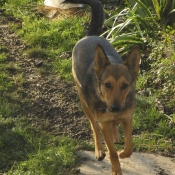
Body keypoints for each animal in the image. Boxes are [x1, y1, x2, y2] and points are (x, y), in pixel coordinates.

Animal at [63, 0, 141, 174]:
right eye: (107, 85)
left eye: (125, 85)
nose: (115, 107)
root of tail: (88, 36)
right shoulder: (104, 123)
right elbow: (112, 152)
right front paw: (116, 169)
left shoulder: (128, 118)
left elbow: (129, 148)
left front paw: (123, 151)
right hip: (84, 103)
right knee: (94, 126)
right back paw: (99, 149)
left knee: (112, 126)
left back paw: (115, 133)